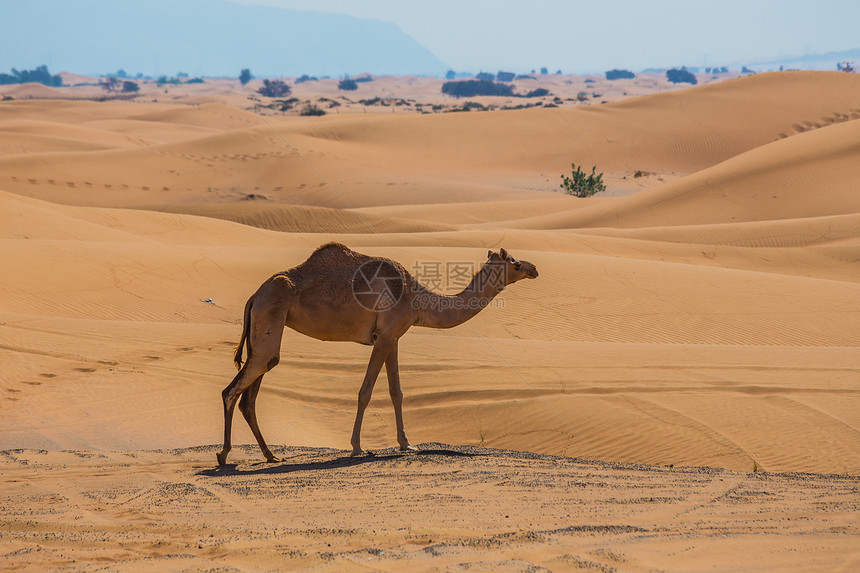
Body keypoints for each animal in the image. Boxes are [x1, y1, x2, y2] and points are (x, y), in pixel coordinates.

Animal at [215, 242, 536, 464]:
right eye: (515, 263)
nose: (534, 269)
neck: (417, 299)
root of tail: (254, 296)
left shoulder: (393, 338)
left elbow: (397, 392)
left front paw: (407, 444)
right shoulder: (384, 338)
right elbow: (365, 392)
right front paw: (357, 447)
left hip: (264, 332)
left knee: (250, 395)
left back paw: (270, 455)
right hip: (269, 319)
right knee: (233, 390)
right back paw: (224, 454)